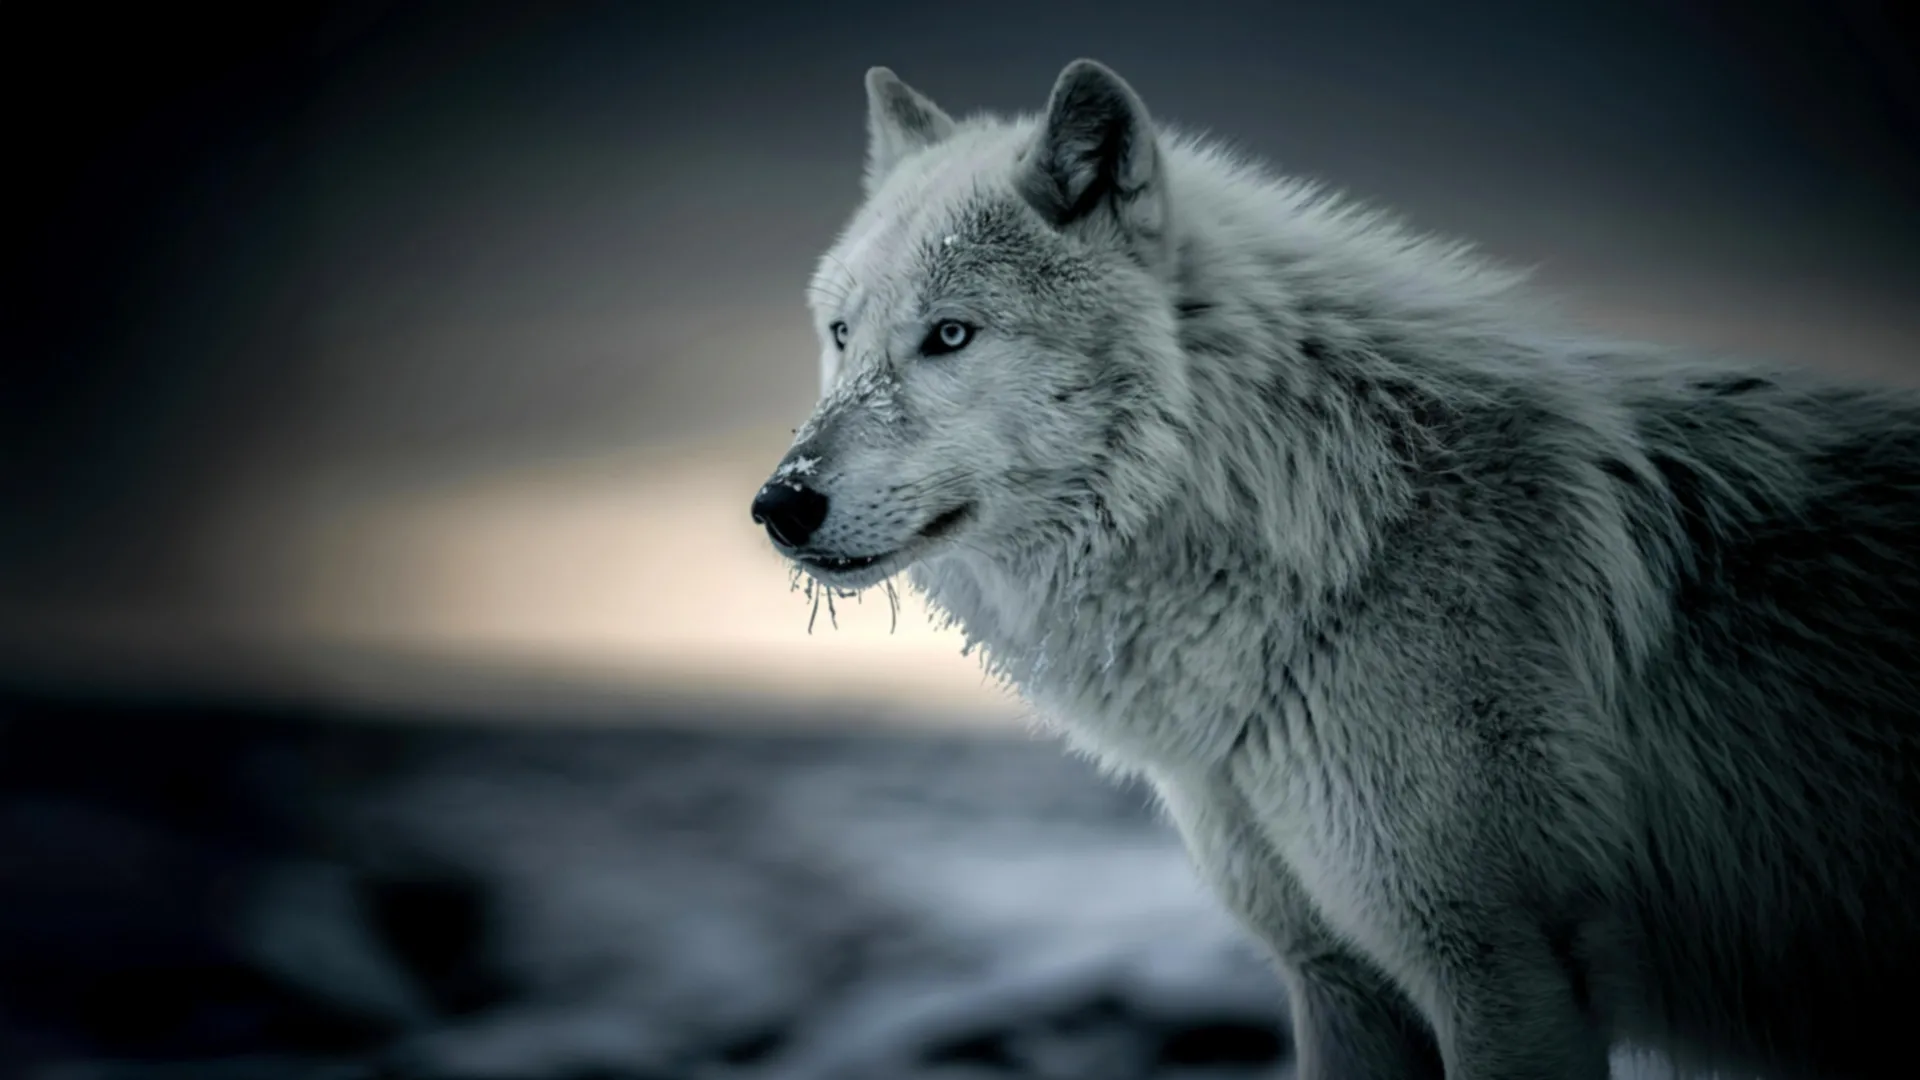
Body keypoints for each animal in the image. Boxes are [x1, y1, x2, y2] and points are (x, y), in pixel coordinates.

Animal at [748, 58, 1920, 1080]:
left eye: (951, 336)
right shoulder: (1337, 976)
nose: (778, 506)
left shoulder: (1501, 966)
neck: (1336, 538)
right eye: (842, 333)